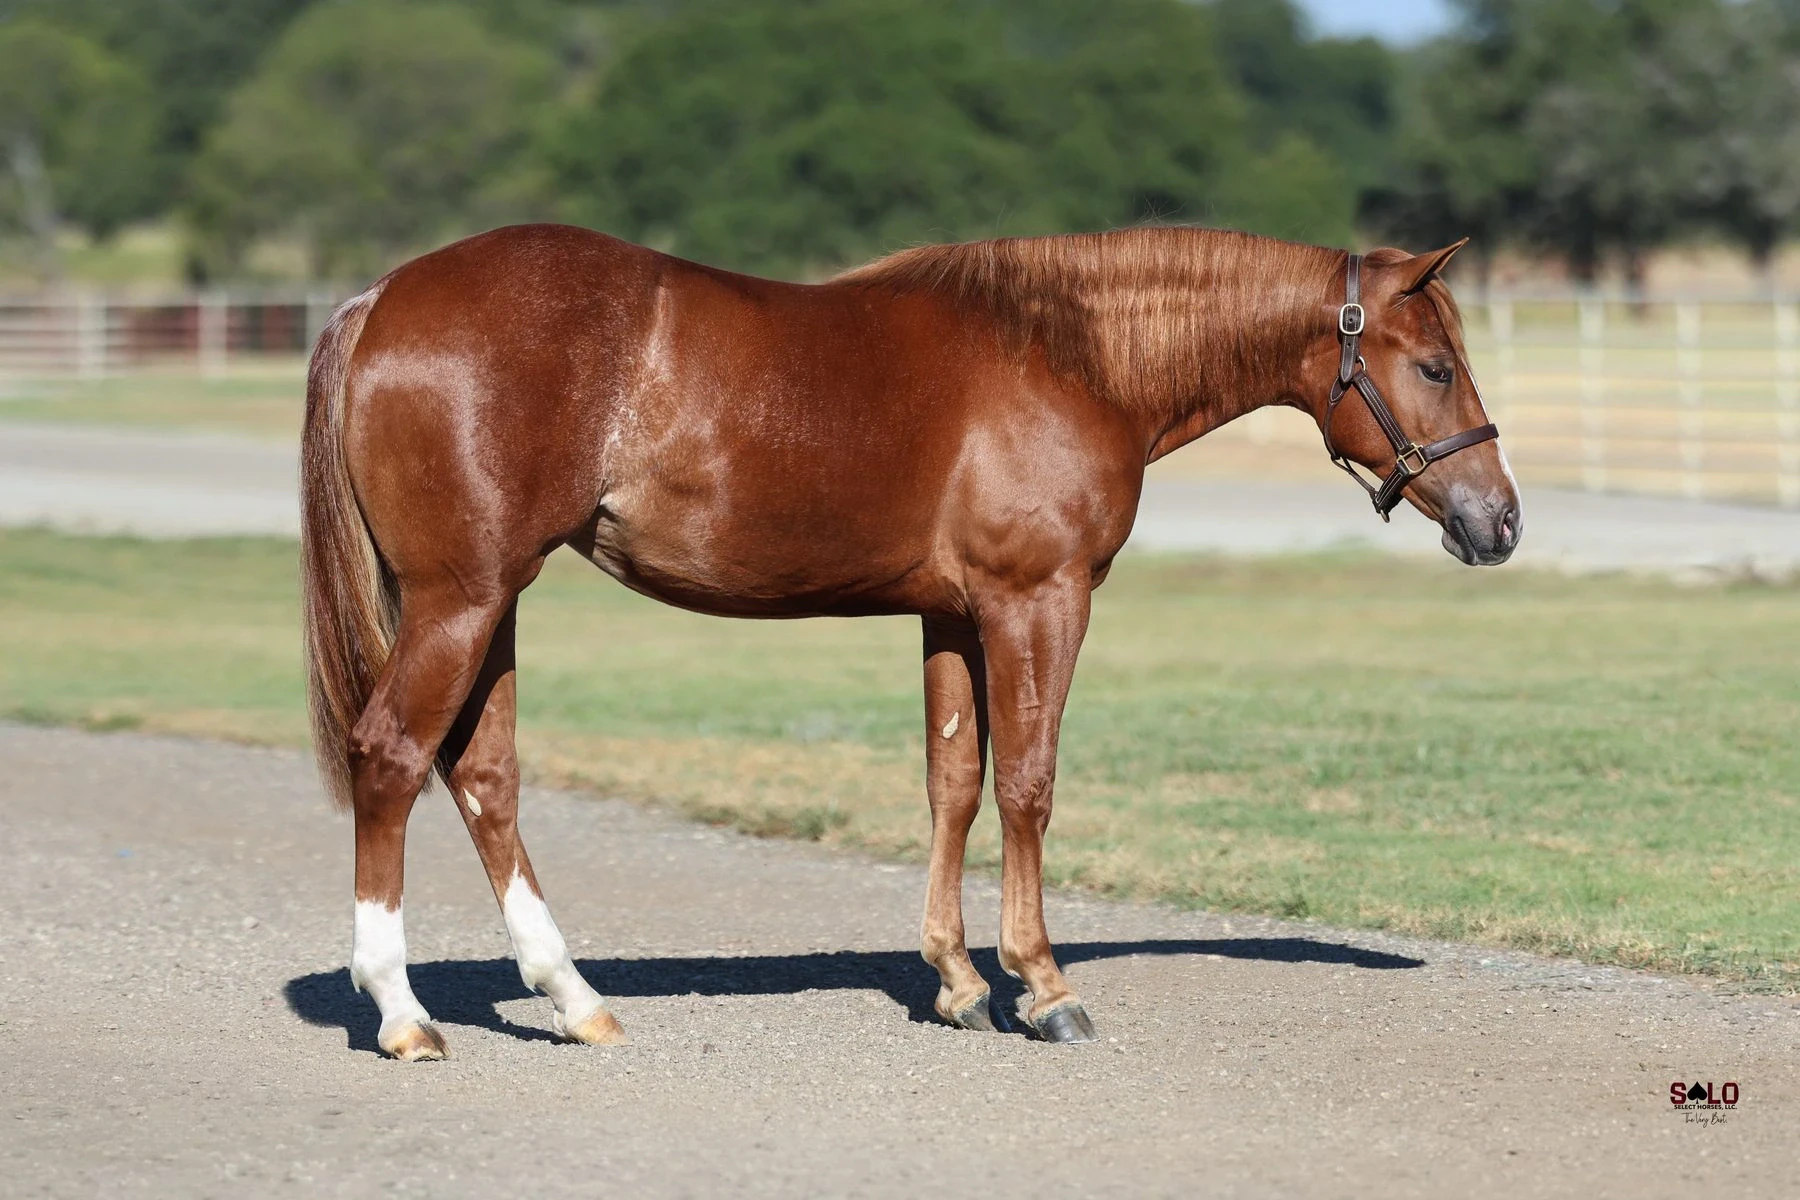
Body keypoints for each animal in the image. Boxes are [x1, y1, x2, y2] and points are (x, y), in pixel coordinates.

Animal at [300, 223, 1520, 1060]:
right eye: (1434, 367)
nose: (1500, 521)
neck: (1073, 352)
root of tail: (381, 297)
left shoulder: (953, 614)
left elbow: (953, 782)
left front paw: (960, 982)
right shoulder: (1039, 601)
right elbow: (1027, 780)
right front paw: (1044, 987)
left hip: (490, 603)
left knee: (483, 775)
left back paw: (575, 997)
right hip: (461, 600)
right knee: (392, 760)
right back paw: (402, 1013)